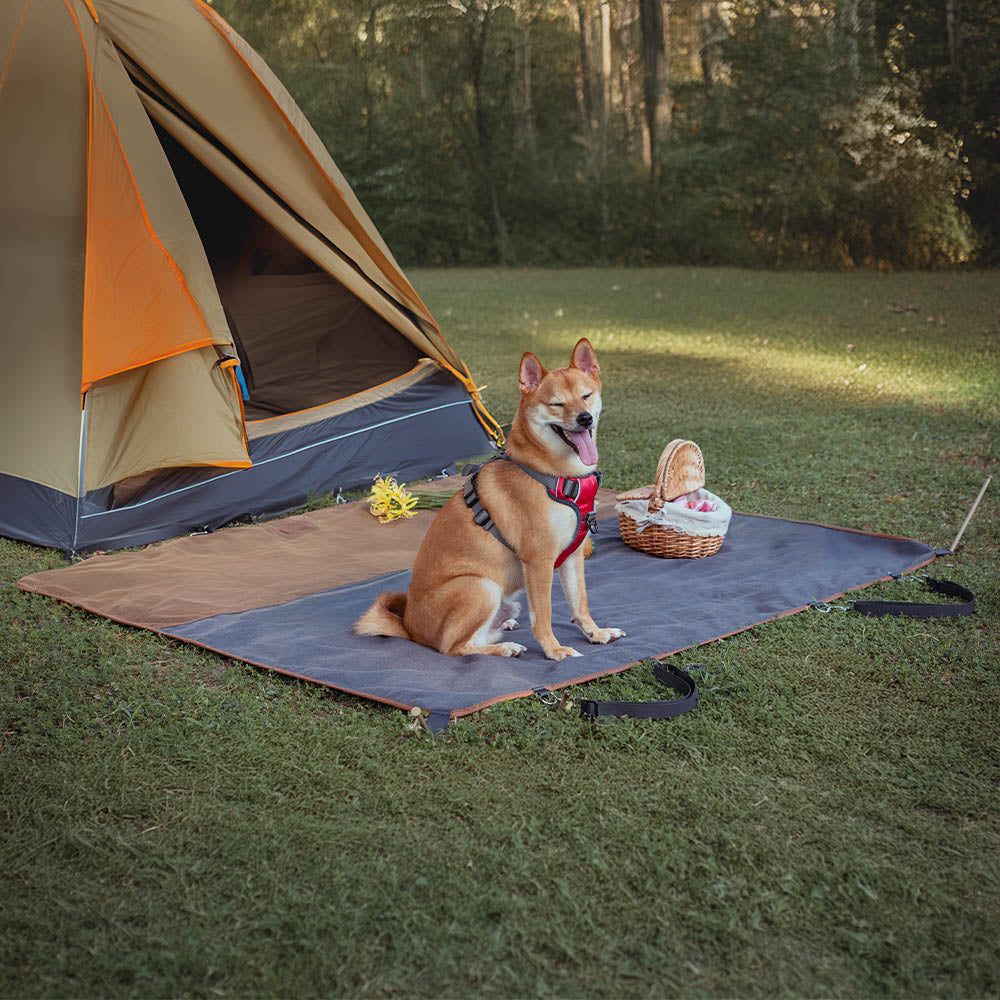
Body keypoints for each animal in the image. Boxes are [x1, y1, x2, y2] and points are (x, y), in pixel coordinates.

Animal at [354, 340, 624, 660]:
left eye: (586, 396)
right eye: (556, 403)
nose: (585, 418)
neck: (553, 473)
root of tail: (409, 627)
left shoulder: (572, 556)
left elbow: (580, 603)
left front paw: (596, 633)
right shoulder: (539, 560)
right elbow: (543, 616)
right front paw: (553, 649)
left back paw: (504, 630)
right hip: (481, 586)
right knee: (455, 648)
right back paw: (504, 648)